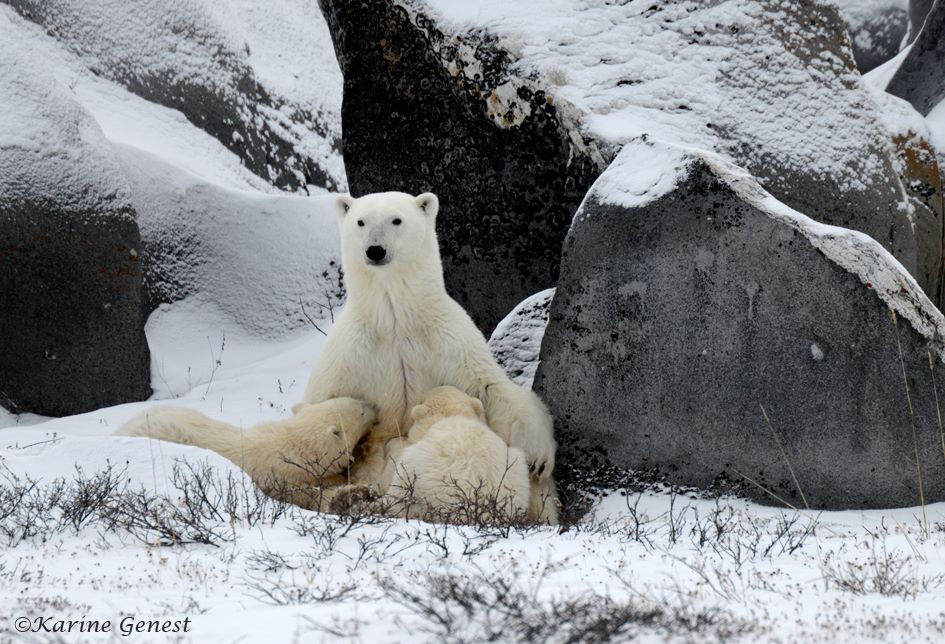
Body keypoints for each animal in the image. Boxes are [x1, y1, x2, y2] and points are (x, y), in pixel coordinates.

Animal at [116, 398, 377, 510]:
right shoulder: (278, 476)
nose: (375, 406)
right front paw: (352, 494)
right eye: (361, 410)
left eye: (356, 400)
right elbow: (307, 496)